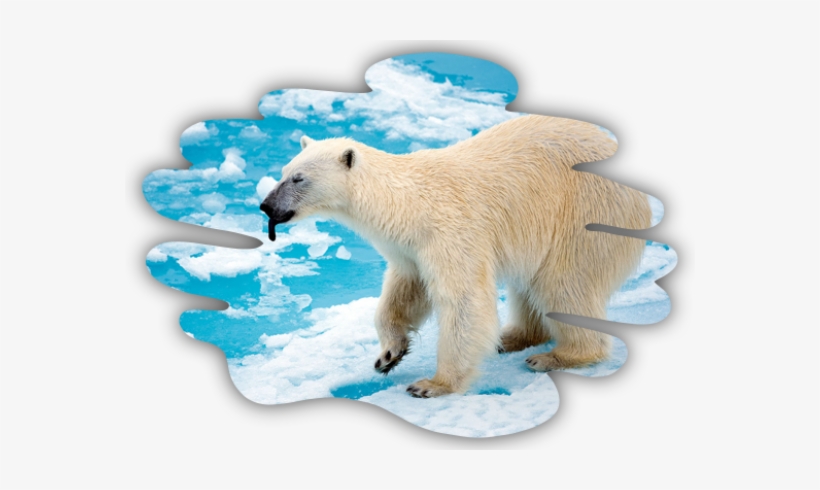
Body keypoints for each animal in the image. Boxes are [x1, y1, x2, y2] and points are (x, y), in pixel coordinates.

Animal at [260, 115, 651, 398]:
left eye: (298, 178)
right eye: (282, 173)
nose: (265, 205)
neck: (408, 202)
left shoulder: (450, 230)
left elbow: (463, 300)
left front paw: (432, 385)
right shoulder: (412, 246)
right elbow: (406, 289)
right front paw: (389, 355)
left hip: (586, 214)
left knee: (564, 283)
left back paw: (556, 355)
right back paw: (511, 338)